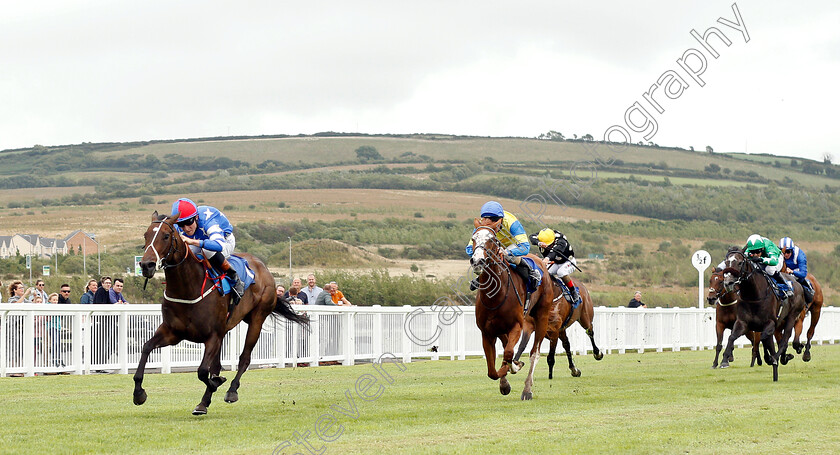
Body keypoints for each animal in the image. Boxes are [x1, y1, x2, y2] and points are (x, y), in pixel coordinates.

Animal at [135, 212, 308, 416]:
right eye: (145, 235)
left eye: (166, 236)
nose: (146, 264)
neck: (188, 288)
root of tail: (262, 266)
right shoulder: (173, 333)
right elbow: (146, 347)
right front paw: (138, 393)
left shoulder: (212, 336)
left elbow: (203, 371)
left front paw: (217, 383)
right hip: (226, 329)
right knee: (217, 365)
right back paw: (205, 401)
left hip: (257, 319)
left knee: (244, 358)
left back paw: (231, 390)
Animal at [470, 219, 556, 400]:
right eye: (473, 238)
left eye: (492, 240)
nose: (477, 261)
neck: (495, 295)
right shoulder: (487, 332)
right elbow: (492, 371)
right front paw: (505, 382)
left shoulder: (517, 326)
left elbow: (509, 353)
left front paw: (514, 367)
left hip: (542, 316)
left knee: (534, 353)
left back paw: (527, 389)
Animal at [720, 249, 808, 382]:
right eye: (726, 262)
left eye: (740, 262)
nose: (728, 282)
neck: (754, 296)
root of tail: (797, 283)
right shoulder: (743, 323)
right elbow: (732, 337)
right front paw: (725, 360)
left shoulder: (770, 323)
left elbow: (764, 340)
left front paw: (771, 358)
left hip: (791, 317)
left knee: (785, 339)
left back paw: (779, 357)